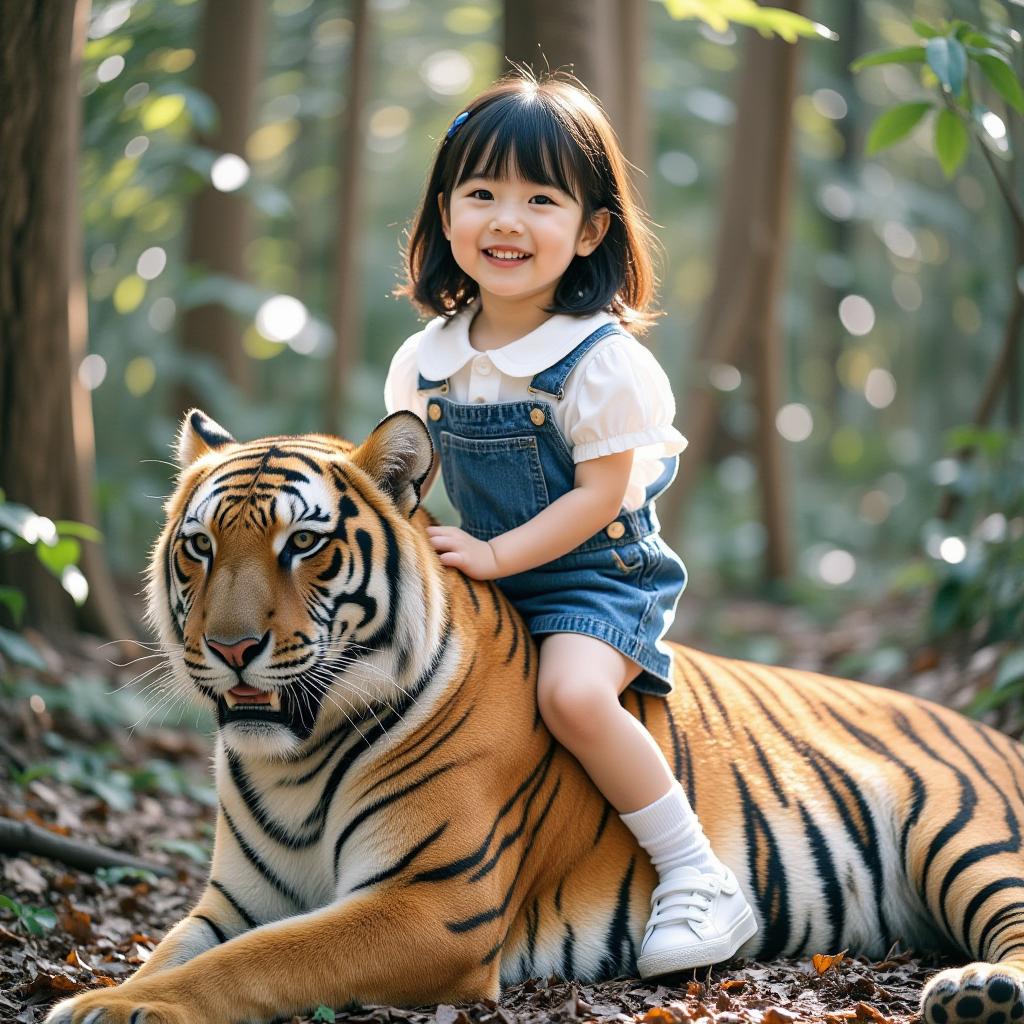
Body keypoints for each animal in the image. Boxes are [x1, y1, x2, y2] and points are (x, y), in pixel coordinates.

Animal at [47, 408, 1024, 1024]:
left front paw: (115, 1007)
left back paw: (977, 991)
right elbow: (177, 950)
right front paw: (107, 990)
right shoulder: (233, 901)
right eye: (200, 548)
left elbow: (258, 962)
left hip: (963, 831)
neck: (293, 762)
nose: (232, 646)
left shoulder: (429, 903)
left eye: (306, 545)